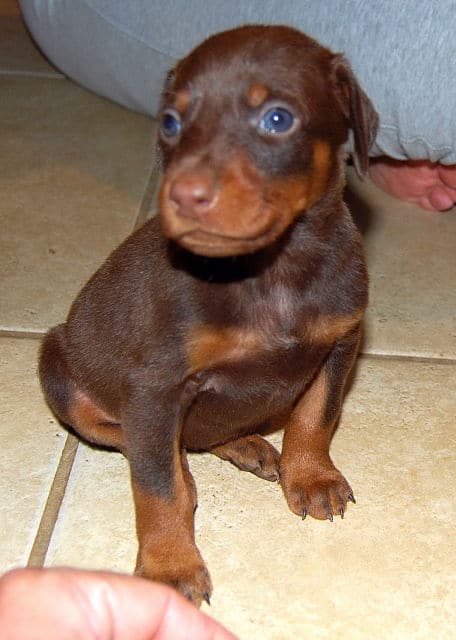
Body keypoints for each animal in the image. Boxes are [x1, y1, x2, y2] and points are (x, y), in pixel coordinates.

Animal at [40, 25, 378, 604]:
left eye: (277, 119)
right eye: (170, 122)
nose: (182, 195)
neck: (271, 270)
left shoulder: (341, 341)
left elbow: (317, 415)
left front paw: (311, 477)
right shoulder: (155, 385)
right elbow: (157, 488)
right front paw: (170, 565)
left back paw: (247, 445)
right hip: (58, 364)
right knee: (133, 440)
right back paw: (188, 464)